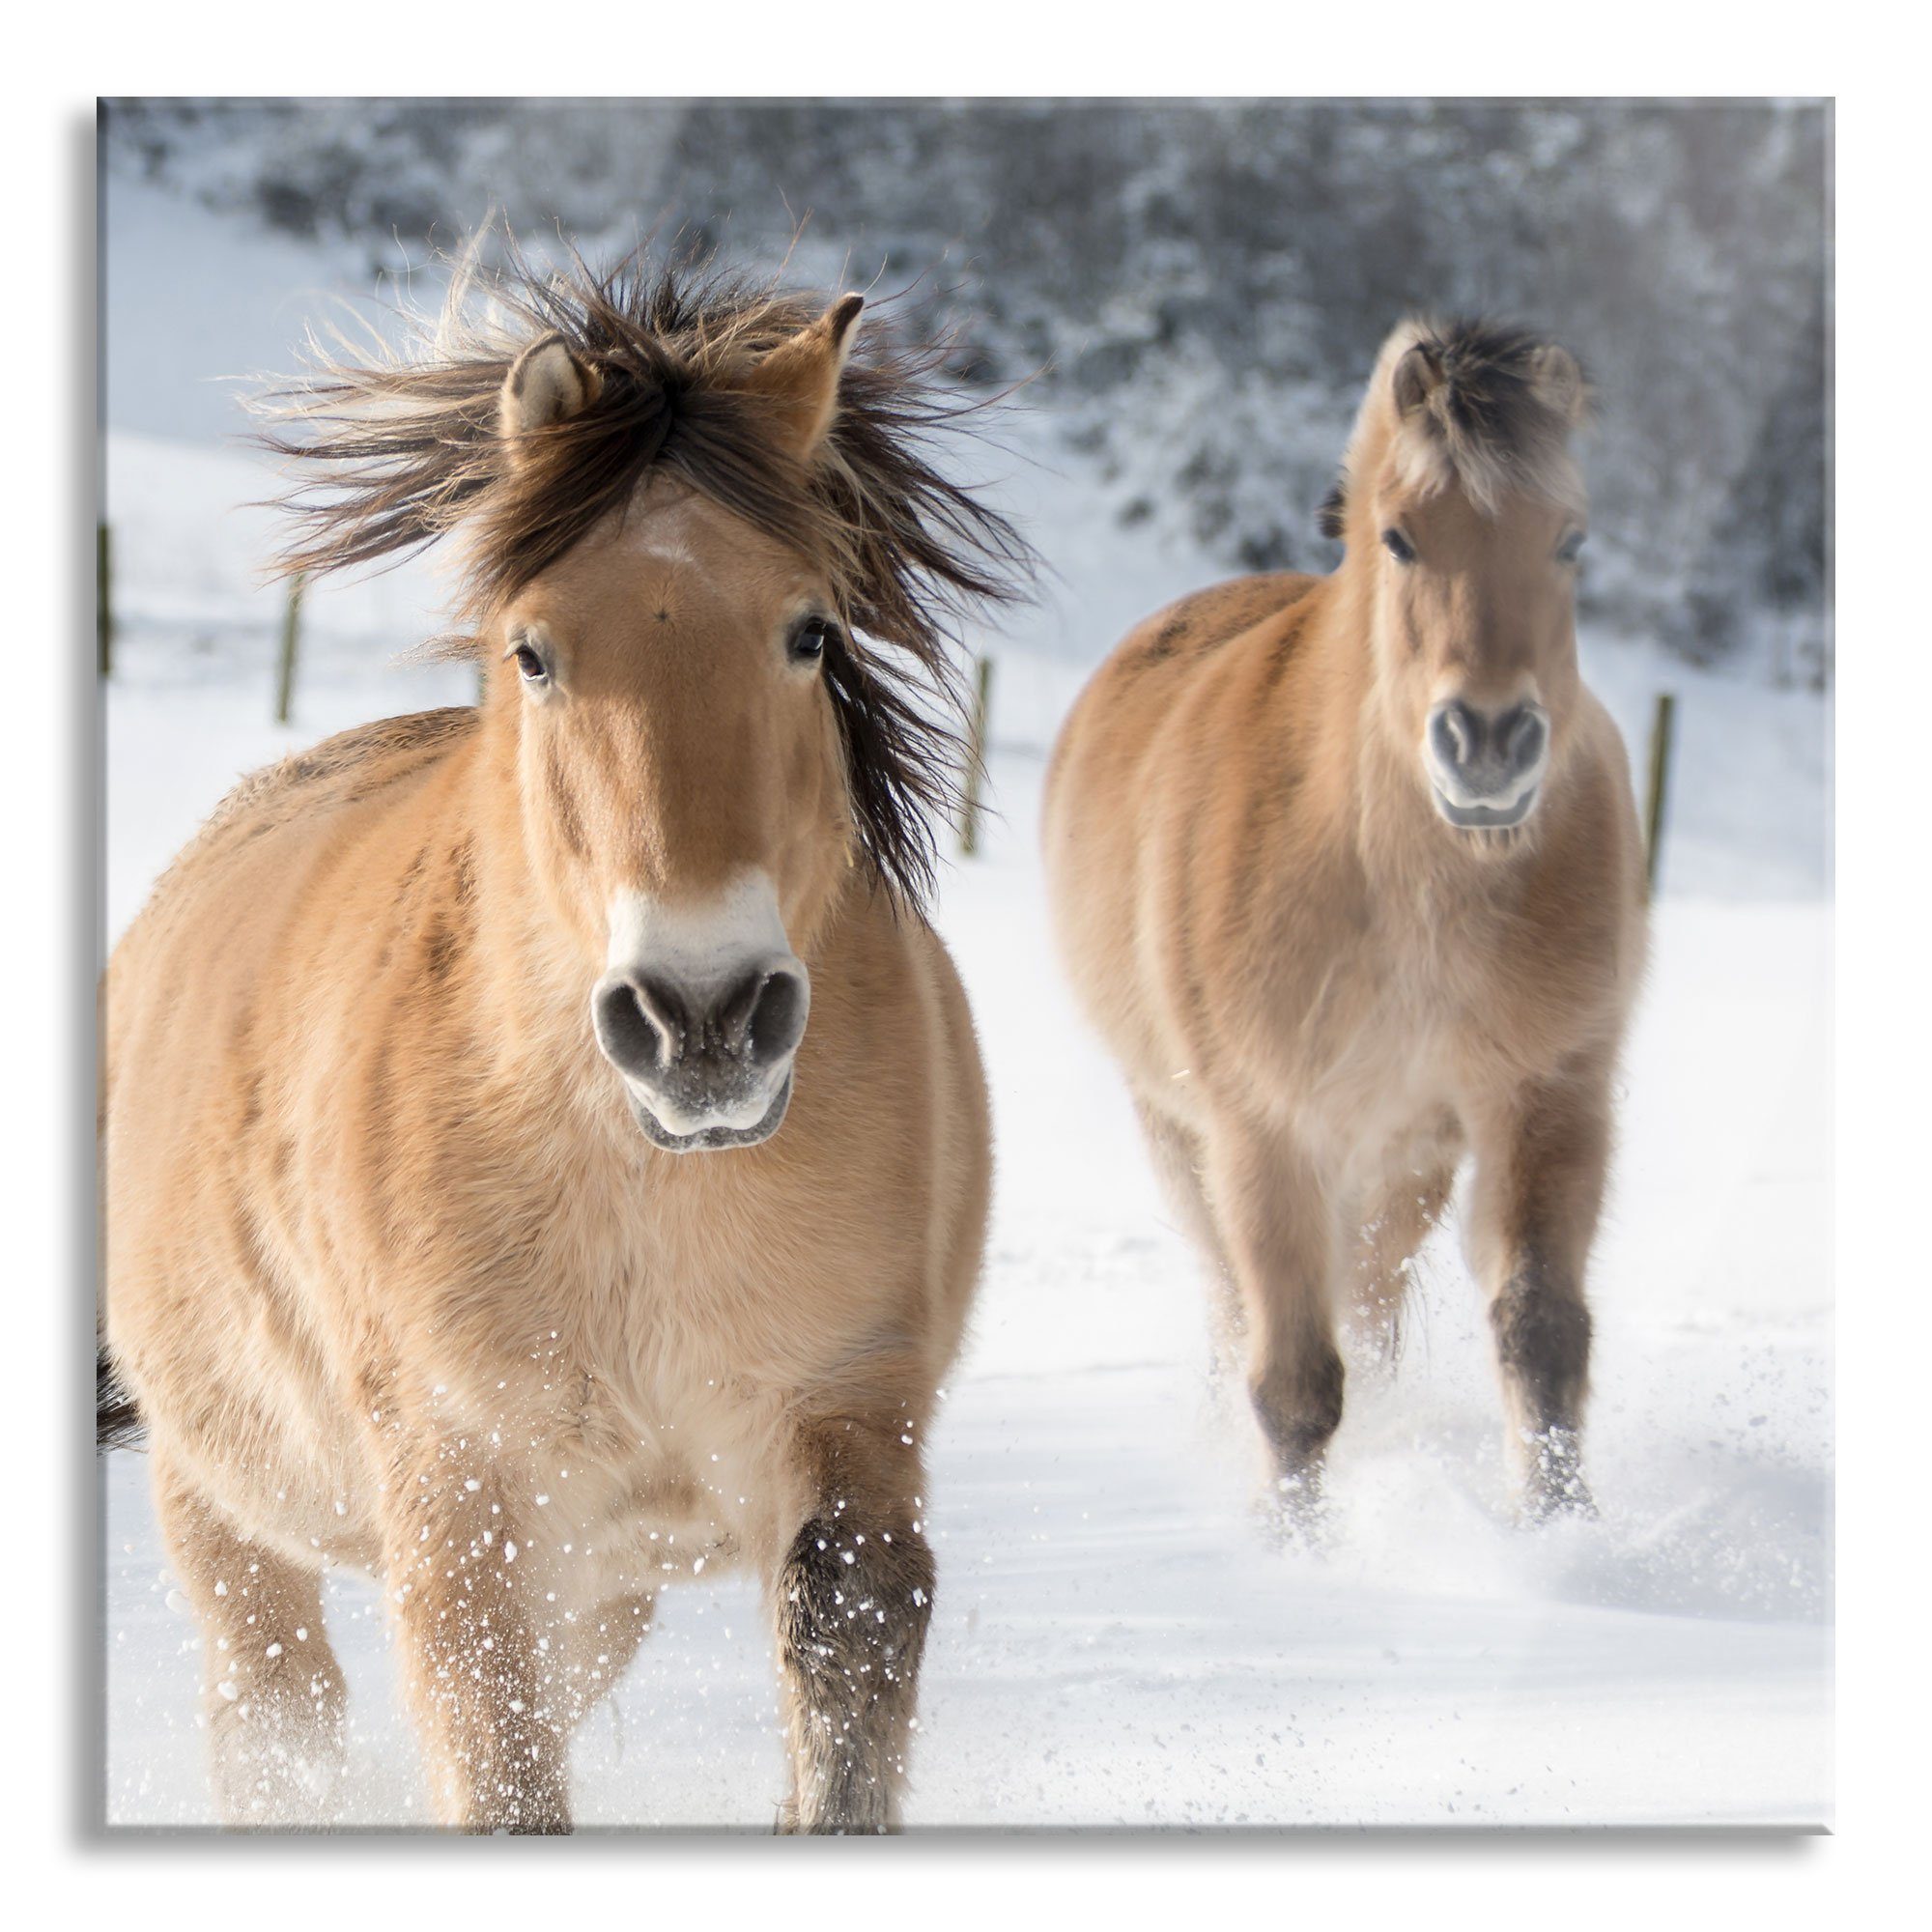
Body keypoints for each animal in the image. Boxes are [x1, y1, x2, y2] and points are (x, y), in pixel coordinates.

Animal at [98, 248, 1030, 1832]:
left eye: (810, 630)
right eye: (533, 650)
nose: (701, 1017)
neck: (639, 1189)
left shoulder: (845, 1426)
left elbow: (839, 1690)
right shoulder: (464, 1503)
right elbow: (495, 1772)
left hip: (603, 1584)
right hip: (224, 1498)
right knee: (277, 1711)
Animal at [1042, 317, 1646, 1527]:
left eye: (1568, 539)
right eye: (1400, 537)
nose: (1487, 744)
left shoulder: (1545, 1096)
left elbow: (1540, 1331)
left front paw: (1562, 1535)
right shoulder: (1264, 1132)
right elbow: (1291, 1380)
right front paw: (1294, 1547)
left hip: (1404, 1155)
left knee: (1367, 1308)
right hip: (1181, 1131)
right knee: (1239, 1309)